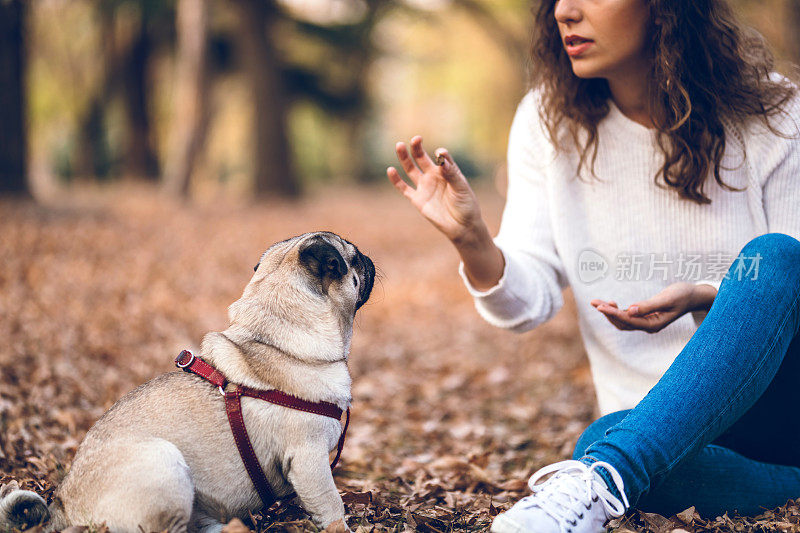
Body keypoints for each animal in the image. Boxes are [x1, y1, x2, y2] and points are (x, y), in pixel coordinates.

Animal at [0, 232, 376, 532]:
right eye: (354, 258)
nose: (369, 259)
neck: (273, 339)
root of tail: (62, 507)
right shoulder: (309, 461)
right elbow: (332, 507)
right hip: (164, 463)